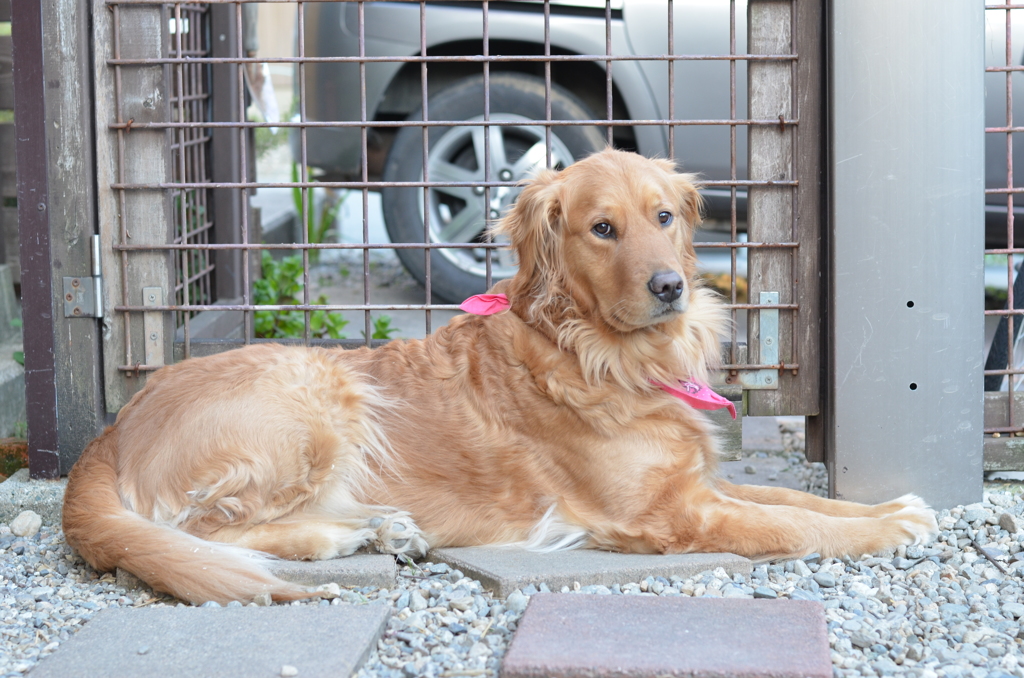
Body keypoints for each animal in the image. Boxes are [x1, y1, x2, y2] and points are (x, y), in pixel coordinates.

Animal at [61, 150, 937, 606]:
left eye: (664, 217)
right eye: (601, 229)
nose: (670, 287)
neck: (594, 349)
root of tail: (113, 428)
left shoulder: (698, 482)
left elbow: (802, 499)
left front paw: (888, 504)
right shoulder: (669, 514)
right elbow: (791, 525)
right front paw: (890, 529)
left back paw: (378, 529)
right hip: (318, 402)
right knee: (204, 532)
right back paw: (344, 537)